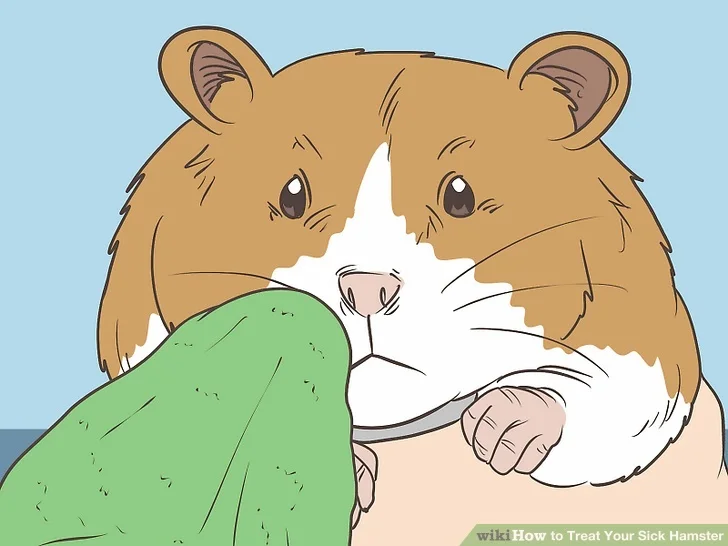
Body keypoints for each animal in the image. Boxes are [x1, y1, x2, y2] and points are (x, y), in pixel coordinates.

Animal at [98, 26, 707, 498]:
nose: (367, 291)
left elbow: (628, 388)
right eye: (292, 194)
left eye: (460, 195)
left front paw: (507, 425)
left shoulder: (643, 331)